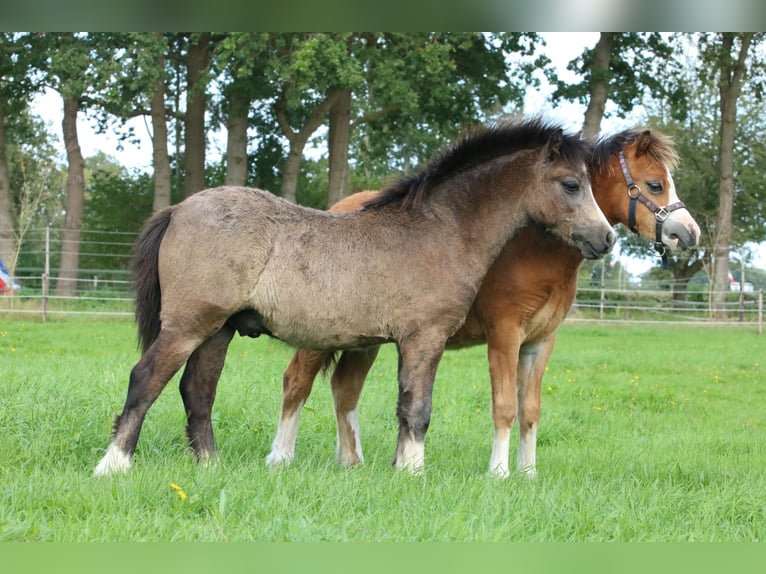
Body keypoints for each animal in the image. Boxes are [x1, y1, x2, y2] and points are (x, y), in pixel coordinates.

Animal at [93, 117, 616, 476]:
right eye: (572, 184)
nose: (606, 239)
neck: (441, 230)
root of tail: (179, 209)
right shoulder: (425, 338)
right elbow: (417, 408)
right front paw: (413, 472)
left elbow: (405, 406)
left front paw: (400, 466)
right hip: (189, 325)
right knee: (146, 379)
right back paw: (113, 465)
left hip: (218, 331)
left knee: (197, 390)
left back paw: (210, 466)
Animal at [265, 127, 701, 477]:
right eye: (655, 184)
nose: (689, 233)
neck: (534, 249)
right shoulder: (505, 335)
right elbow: (505, 405)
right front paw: (500, 473)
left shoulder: (539, 342)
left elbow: (531, 409)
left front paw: (528, 474)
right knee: (297, 381)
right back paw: (281, 457)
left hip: (365, 339)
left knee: (345, 388)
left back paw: (352, 462)